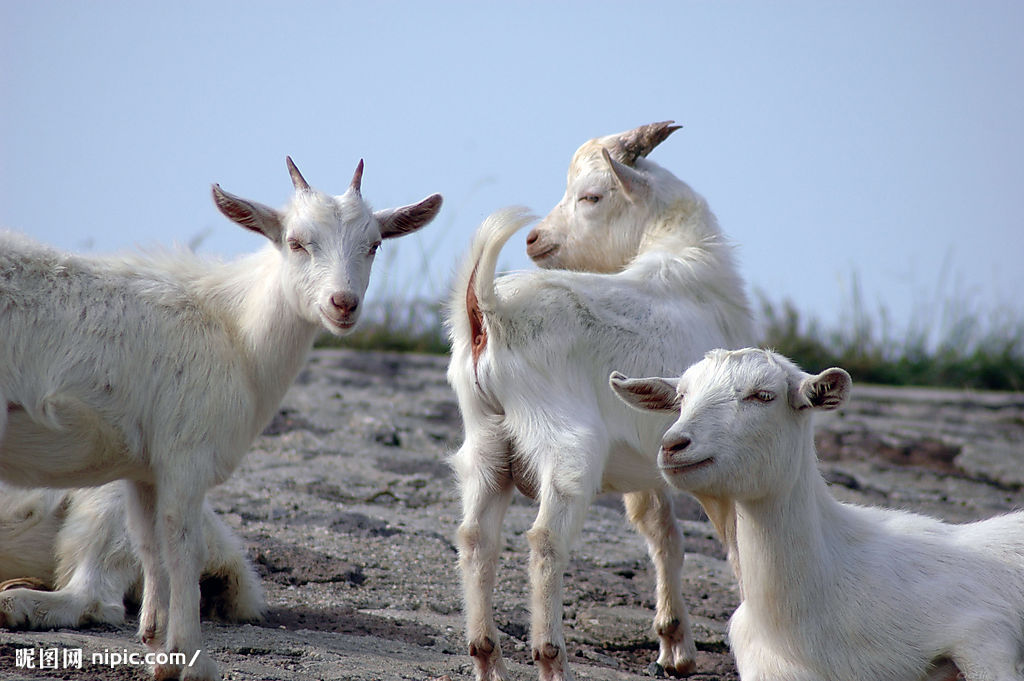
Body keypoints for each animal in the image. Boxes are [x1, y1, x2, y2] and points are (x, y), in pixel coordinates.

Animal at [448, 122, 753, 679]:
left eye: (591, 195)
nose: (535, 238)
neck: (685, 261)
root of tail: (488, 313)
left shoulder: (653, 458)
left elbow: (663, 534)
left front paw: (674, 647)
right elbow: (734, 549)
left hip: (485, 443)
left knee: (476, 537)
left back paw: (488, 658)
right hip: (567, 445)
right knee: (545, 540)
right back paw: (551, 657)